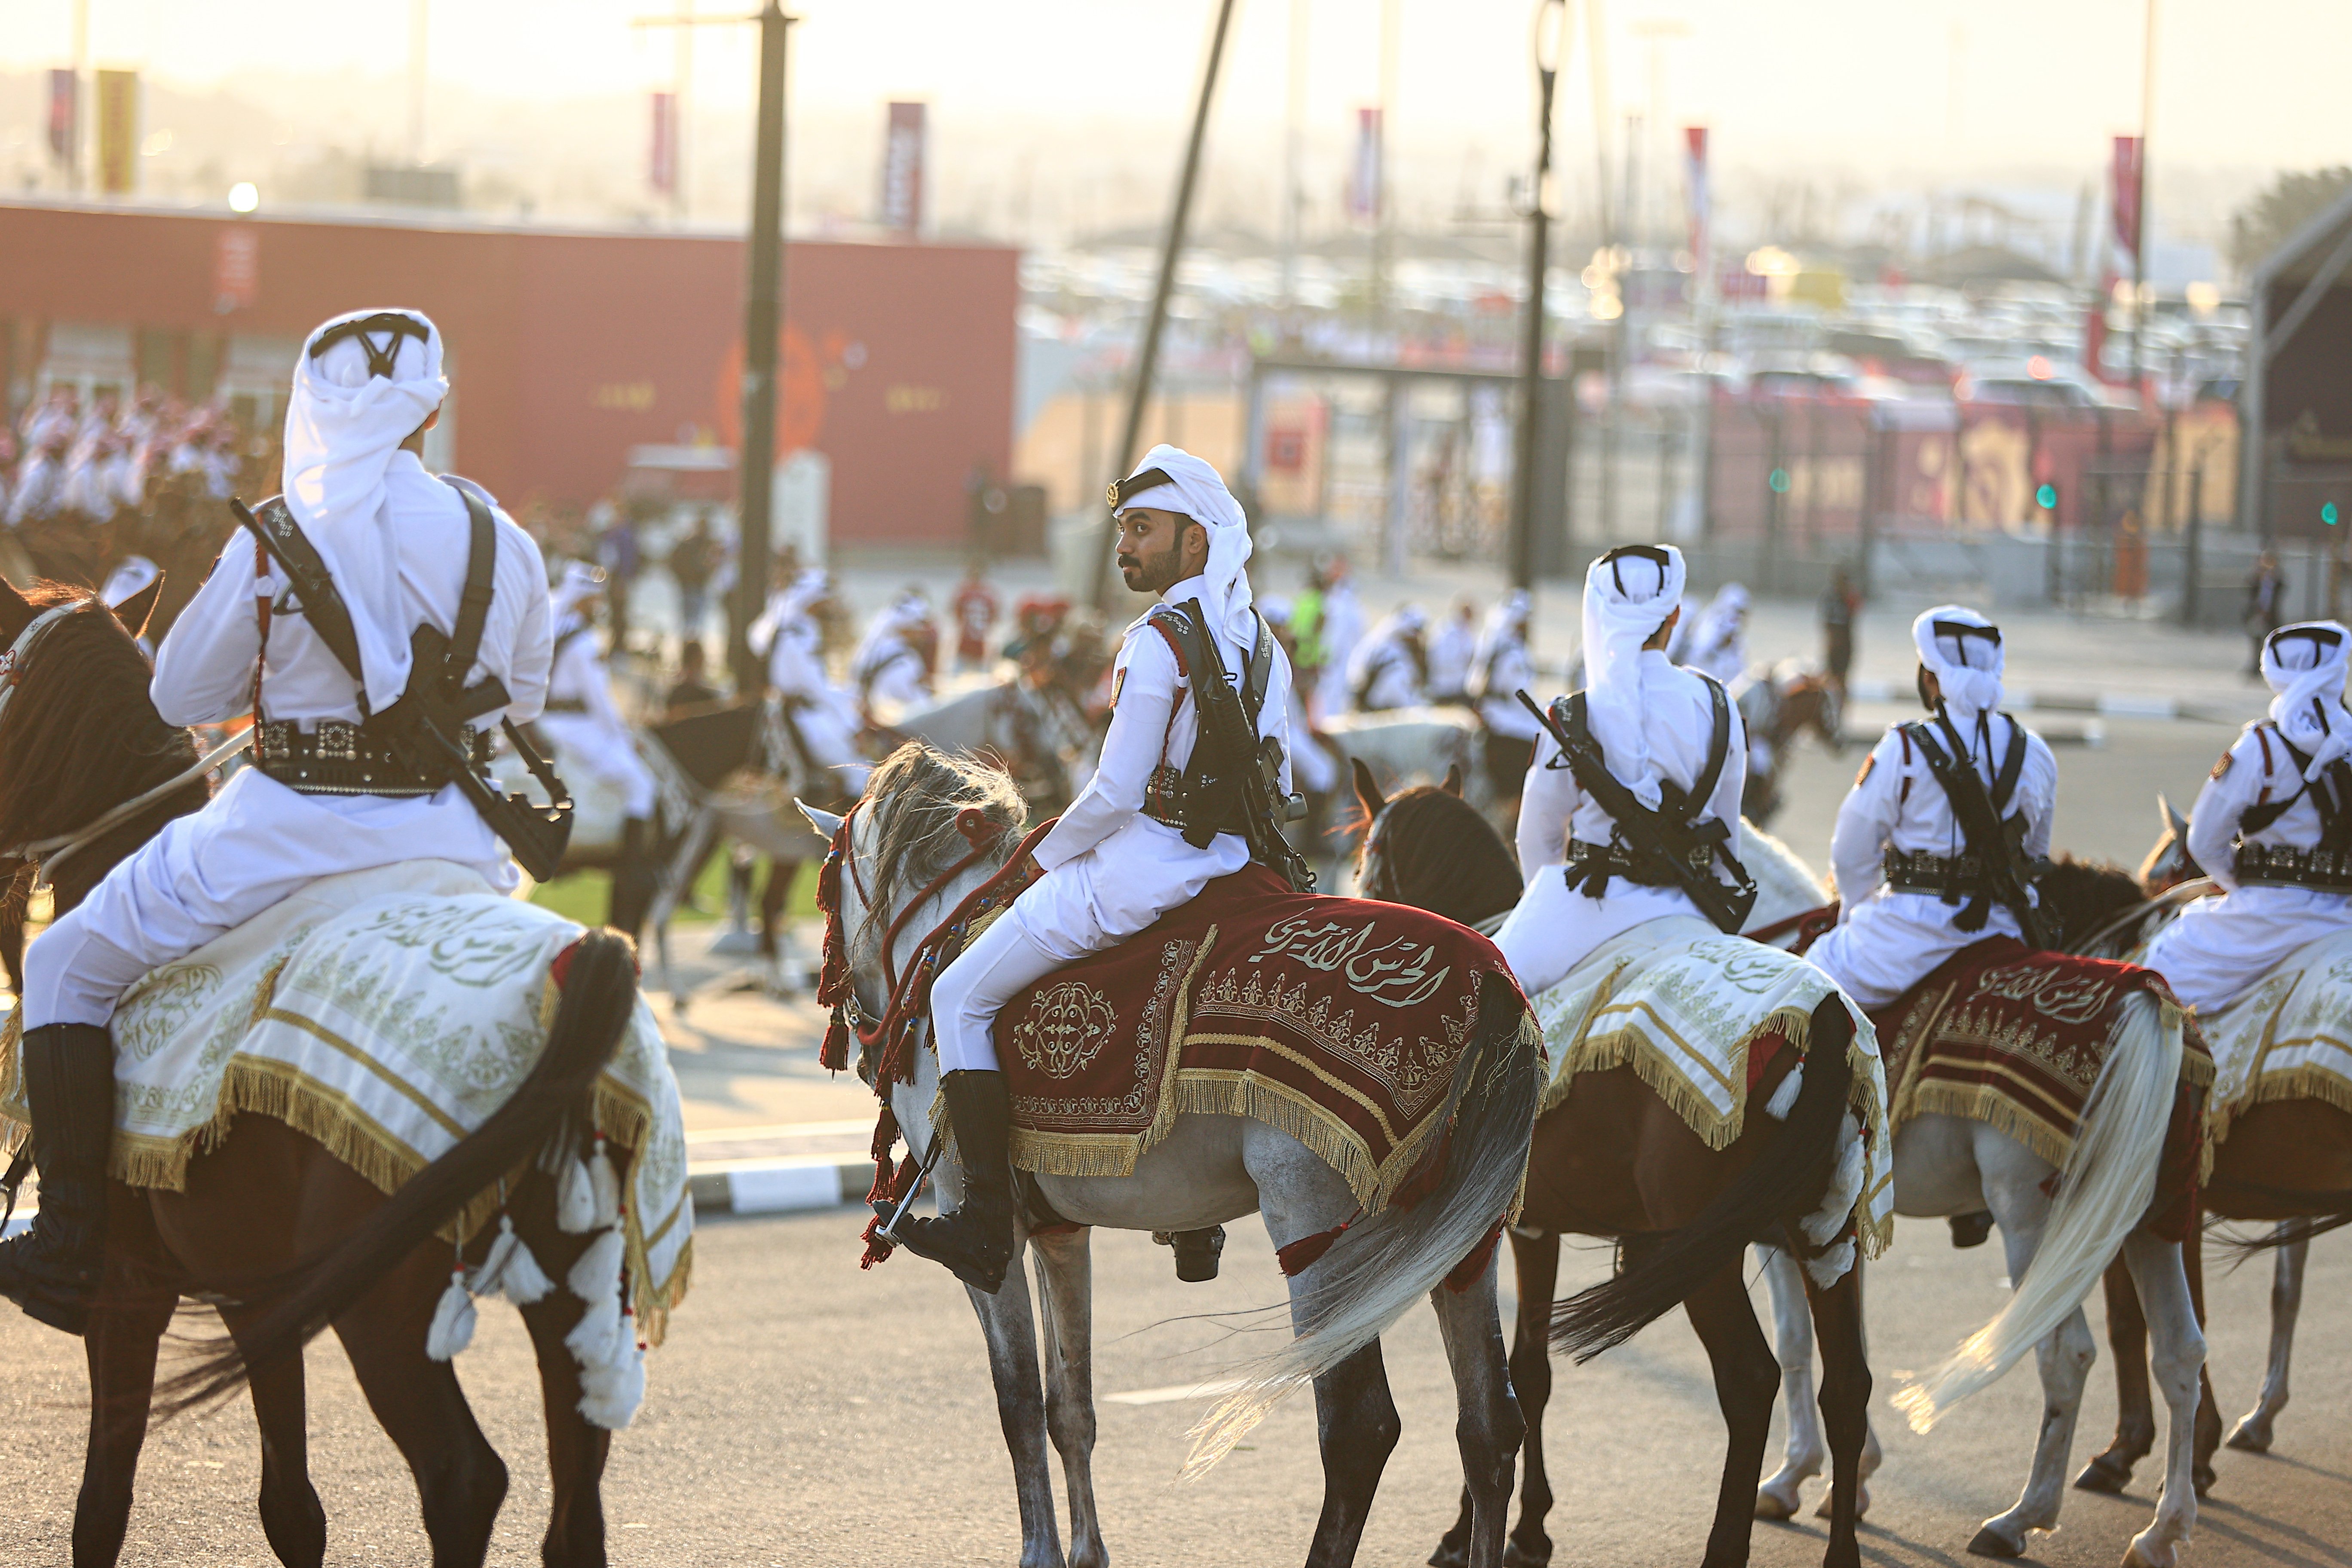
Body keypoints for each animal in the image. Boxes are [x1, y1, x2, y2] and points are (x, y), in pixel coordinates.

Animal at [809, 747, 1543, 1568]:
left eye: (827, 895)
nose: (849, 1017)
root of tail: (1488, 978)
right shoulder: (1061, 1230)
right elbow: (1070, 1405)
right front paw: (1087, 1553)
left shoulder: (991, 1237)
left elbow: (1018, 1401)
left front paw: (1040, 1551)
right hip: (1465, 1236)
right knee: (1489, 1425)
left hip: (1317, 1230)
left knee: (1360, 1427)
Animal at [1364, 771, 1872, 1568]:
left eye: (1368, 857)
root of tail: (1816, 1019)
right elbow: (1524, 1375)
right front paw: (1524, 1525)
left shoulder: (1516, 1231)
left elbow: (1516, 1374)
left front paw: (1493, 1529)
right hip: (1827, 1233)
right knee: (1847, 1386)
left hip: (1708, 1255)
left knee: (1750, 1379)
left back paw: (1725, 1544)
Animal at [1750, 846, 2201, 1568]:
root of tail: (2146, 1000)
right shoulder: (1835, 1233)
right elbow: (1847, 1344)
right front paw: (1852, 1476)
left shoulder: (1782, 1228)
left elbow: (1796, 1342)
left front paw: (1793, 1475)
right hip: (2151, 1220)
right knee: (2181, 1352)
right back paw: (2162, 1531)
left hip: (2033, 1223)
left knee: (2065, 1355)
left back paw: (2022, 1516)